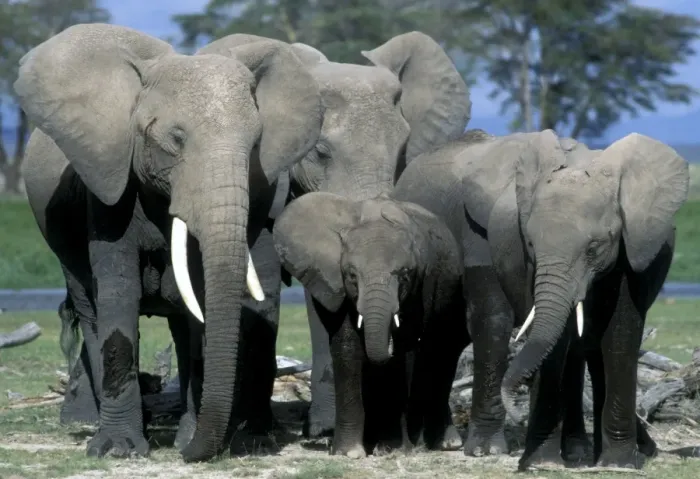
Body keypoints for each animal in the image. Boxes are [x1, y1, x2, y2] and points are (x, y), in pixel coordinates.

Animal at [16, 23, 322, 461]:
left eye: (254, 147)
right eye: (175, 140)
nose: (195, 453)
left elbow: (196, 301)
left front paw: (185, 441)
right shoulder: (109, 185)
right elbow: (119, 293)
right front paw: (118, 450)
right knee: (90, 310)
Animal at [272, 192, 467, 457]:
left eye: (405, 275)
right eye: (352, 275)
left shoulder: (420, 289)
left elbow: (405, 350)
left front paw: (395, 449)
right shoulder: (337, 285)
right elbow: (347, 345)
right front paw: (349, 452)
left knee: (439, 351)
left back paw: (443, 443)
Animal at [390, 128, 688, 469]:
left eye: (594, 247)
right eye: (531, 244)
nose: (518, 414)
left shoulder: (636, 249)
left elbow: (620, 332)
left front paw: (619, 464)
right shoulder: (482, 236)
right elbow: (497, 321)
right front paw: (520, 457)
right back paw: (444, 441)